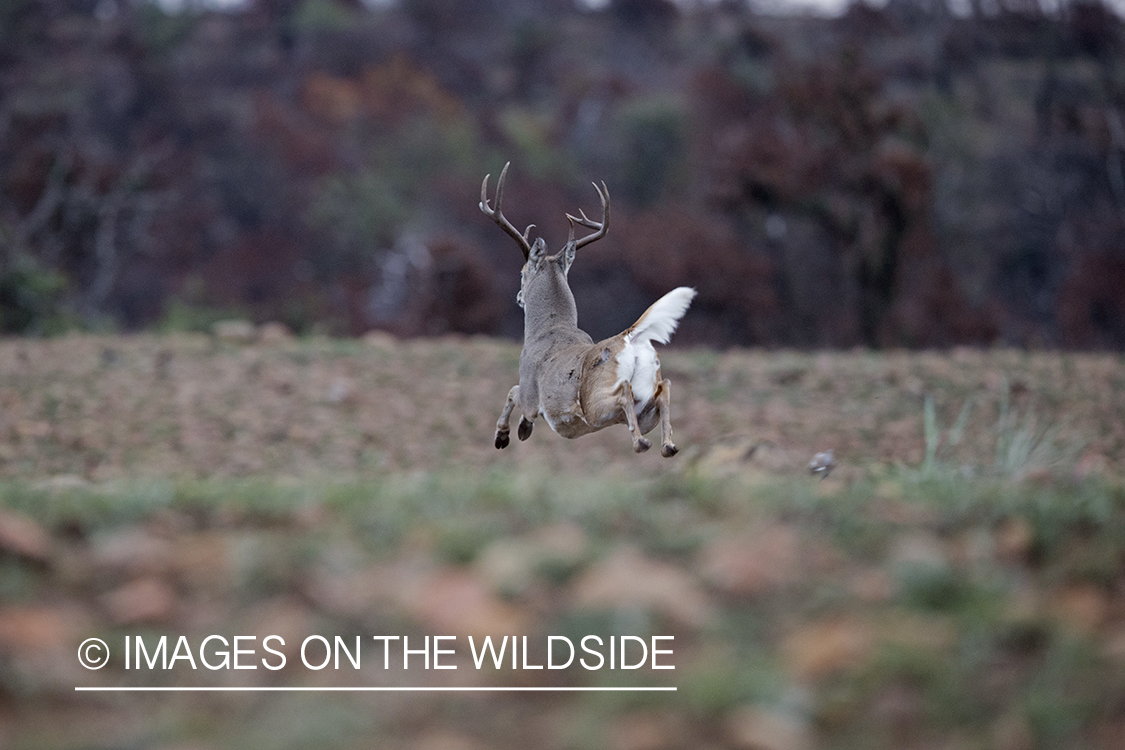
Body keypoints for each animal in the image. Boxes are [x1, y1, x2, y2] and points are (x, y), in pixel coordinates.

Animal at [481, 163, 693, 458]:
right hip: (646, 407)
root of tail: (629, 337)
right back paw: (667, 445)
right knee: (665, 389)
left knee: (624, 391)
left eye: (522, 273)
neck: (548, 330)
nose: (519, 296)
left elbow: (512, 391)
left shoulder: (530, 391)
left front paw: (507, 434)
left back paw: (642, 443)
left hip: (596, 405)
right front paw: (518, 430)